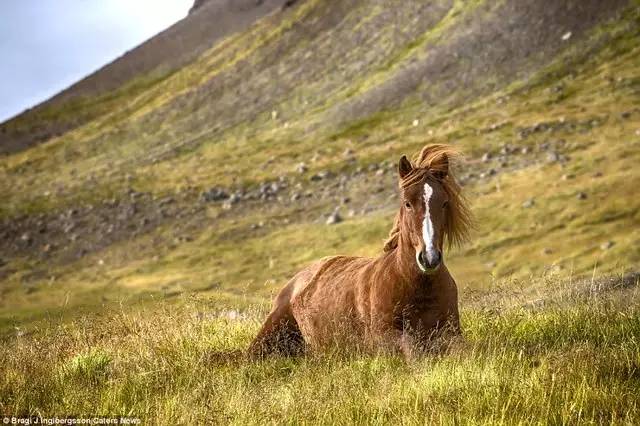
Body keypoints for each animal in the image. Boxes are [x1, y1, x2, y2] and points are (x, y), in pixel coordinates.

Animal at [248, 144, 472, 360]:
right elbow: (413, 350)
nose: (429, 258)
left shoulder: (452, 332)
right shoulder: (381, 337)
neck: (415, 285)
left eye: (444, 203)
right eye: (407, 203)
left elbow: (463, 350)